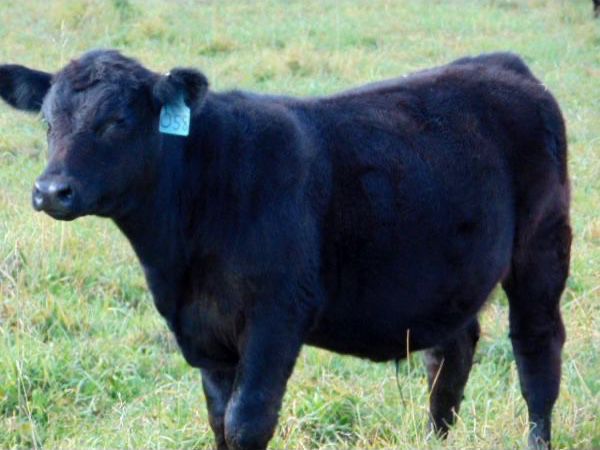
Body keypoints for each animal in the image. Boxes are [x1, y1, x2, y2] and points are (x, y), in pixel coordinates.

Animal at [0, 50, 571, 450]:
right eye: (48, 121)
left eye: (116, 121)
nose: (51, 190)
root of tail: (502, 65)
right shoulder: (205, 332)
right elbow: (219, 423)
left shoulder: (277, 316)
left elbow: (247, 422)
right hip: (449, 277)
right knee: (448, 361)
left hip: (542, 250)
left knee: (536, 355)